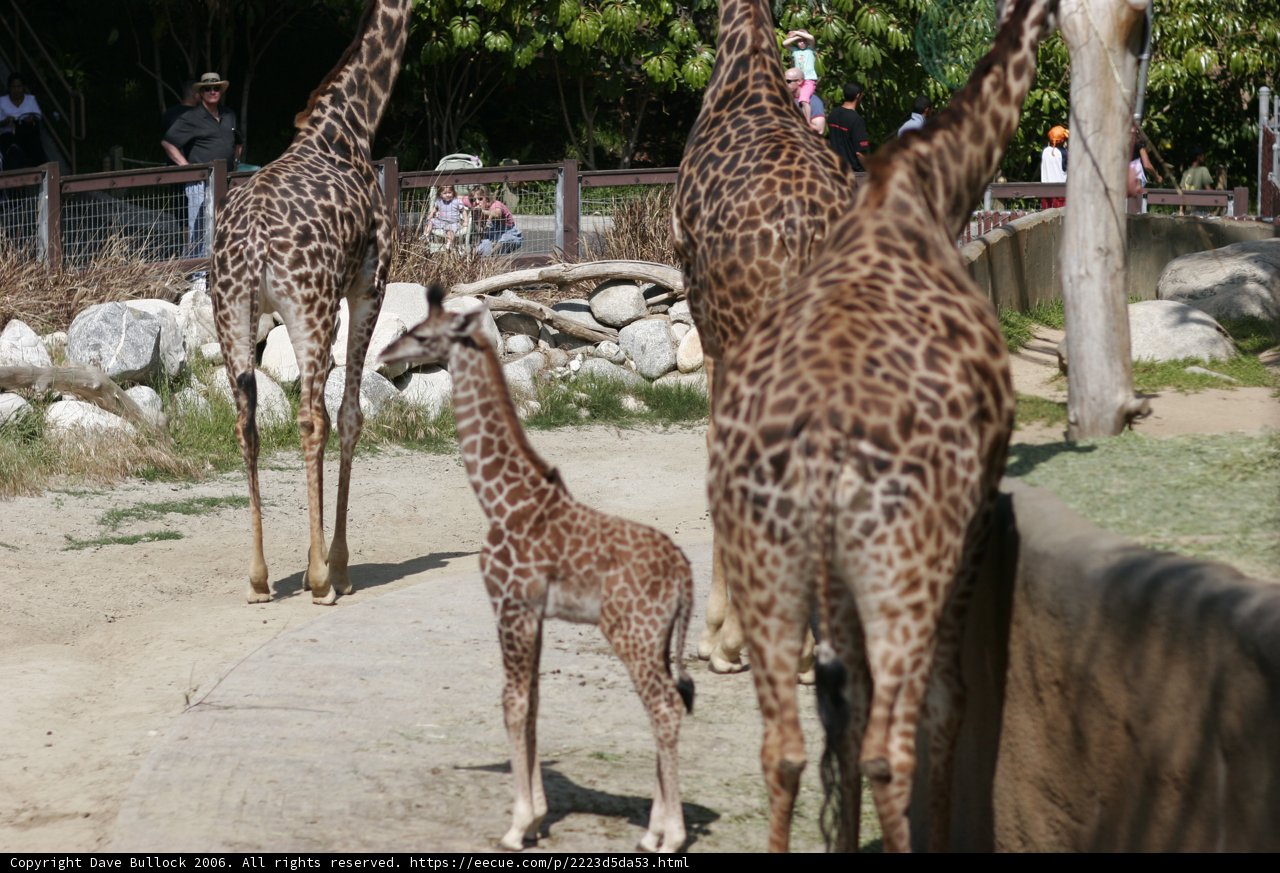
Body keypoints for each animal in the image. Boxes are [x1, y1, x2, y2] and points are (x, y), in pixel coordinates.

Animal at [210, 0, 410, 604]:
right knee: (310, 417)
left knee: (246, 421)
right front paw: (333, 565)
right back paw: (323, 581)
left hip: (231, 311)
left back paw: (259, 578)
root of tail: (253, 245)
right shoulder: (368, 285)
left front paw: (309, 559)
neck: (350, 126)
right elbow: (349, 415)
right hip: (309, 305)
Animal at [381, 285, 696, 854]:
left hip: (631, 632)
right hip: (658, 637)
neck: (499, 500)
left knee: (663, 706)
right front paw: (536, 817)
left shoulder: (510, 604)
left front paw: (518, 824)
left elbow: (511, 702)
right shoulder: (537, 614)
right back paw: (654, 829)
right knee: (663, 705)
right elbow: (532, 702)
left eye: (421, 332)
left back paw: (671, 835)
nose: (383, 355)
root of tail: (687, 576)